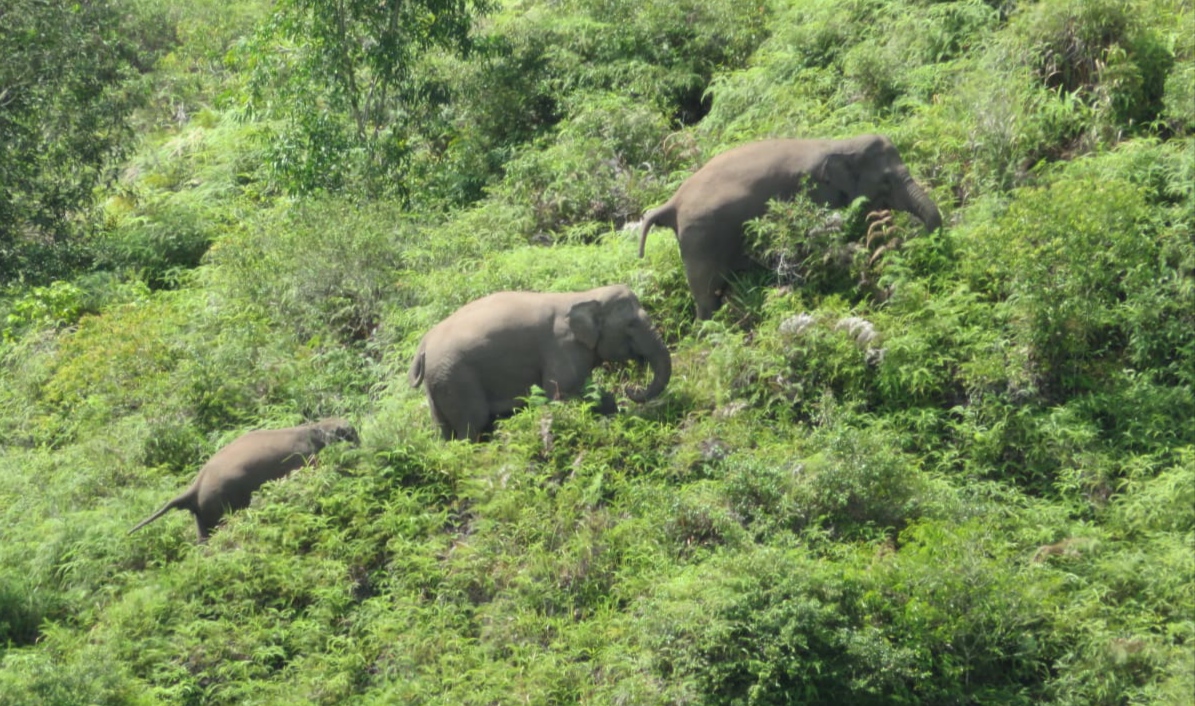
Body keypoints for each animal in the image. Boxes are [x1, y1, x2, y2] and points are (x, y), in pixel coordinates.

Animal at [130, 418, 356, 544]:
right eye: (350, 435)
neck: (315, 426)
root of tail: (194, 486)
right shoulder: (304, 458)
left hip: (202, 513)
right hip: (220, 501)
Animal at [408, 283, 673, 441]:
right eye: (631, 325)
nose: (631, 389)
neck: (586, 295)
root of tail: (423, 344)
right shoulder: (562, 347)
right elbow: (561, 393)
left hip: (438, 383)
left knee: (444, 430)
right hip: (457, 378)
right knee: (473, 424)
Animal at [640, 133, 936, 320]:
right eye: (886, 181)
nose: (922, 236)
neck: (838, 143)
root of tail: (672, 203)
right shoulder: (812, 194)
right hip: (699, 240)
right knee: (706, 298)